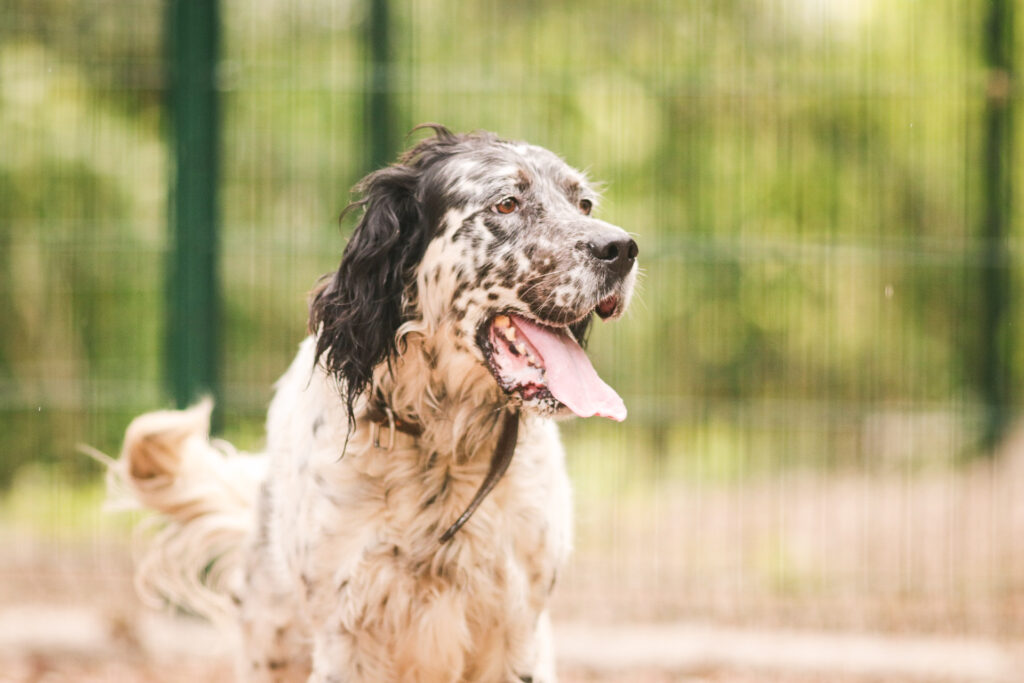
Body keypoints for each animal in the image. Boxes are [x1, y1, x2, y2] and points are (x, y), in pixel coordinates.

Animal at [112, 125, 637, 682]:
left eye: (583, 203)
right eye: (507, 203)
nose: (622, 248)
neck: (442, 447)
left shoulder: (517, 633)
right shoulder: (345, 633)